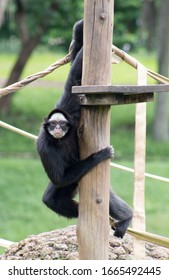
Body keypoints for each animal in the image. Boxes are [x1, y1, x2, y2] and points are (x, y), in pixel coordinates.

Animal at [36, 20, 133, 238]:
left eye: (62, 124)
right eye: (53, 124)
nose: (57, 128)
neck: (61, 139)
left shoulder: (71, 111)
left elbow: (75, 75)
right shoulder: (43, 145)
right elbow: (59, 178)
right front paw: (98, 156)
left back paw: (125, 217)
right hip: (75, 177)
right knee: (53, 198)